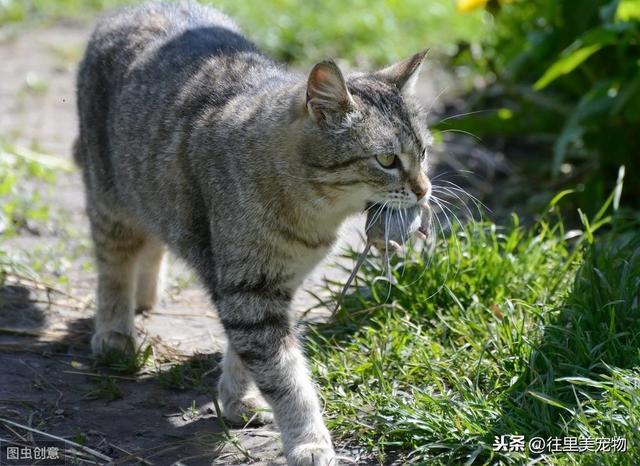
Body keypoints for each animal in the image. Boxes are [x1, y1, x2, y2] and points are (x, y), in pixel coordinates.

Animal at [76, 1, 430, 464]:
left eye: (423, 153)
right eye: (387, 159)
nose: (424, 190)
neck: (313, 214)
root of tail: (131, 9)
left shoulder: (271, 286)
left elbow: (243, 356)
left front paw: (236, 400)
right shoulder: (250, 291)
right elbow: (287, 378)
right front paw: (309, 441)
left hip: (149, 191)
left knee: (153, 240)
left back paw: (147, 294)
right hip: (109, 197)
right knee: (115, 263)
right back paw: (115, 332)